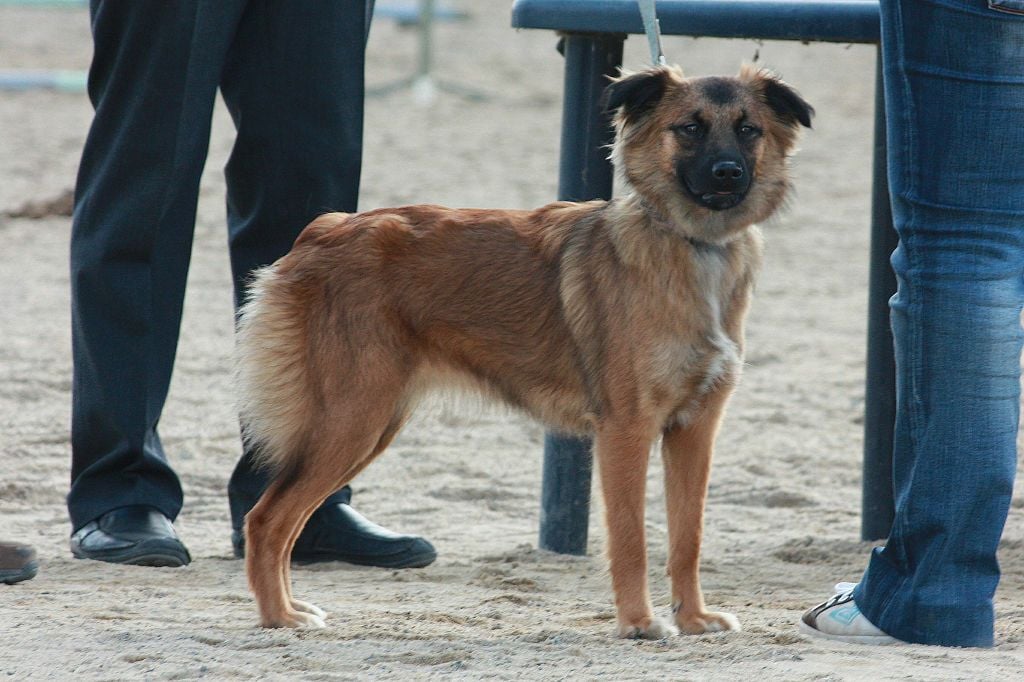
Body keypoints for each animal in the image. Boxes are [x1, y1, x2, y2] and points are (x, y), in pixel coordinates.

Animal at [235, 63, 811, 638]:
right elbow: (631, 540)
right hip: (352, 420)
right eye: (690, 128)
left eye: (749, 130)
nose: (728, 173)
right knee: (265, 519)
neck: (696, 246)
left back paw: (289, 607)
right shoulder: (626, 430)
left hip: (371, 424)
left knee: (285, 521)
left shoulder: (694, 430)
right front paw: (639, 622)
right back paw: (278, 615)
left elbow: (687, 537)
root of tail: (323, 230)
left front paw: (692, 617)